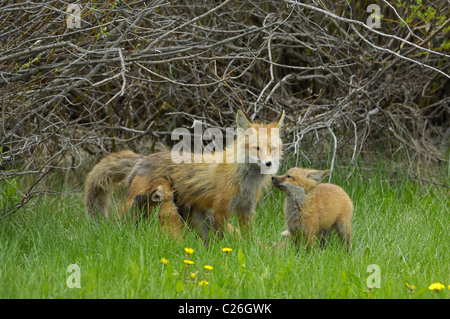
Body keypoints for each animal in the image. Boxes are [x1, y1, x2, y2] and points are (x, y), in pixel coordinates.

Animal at [84, 110, 284, 238]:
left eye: (272, 149)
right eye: (256, 148)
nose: (268, 163)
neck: (244, 181)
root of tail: (144, 157)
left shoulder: (246, 211)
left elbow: (248, 239)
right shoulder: (221, 210)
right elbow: (222, 240)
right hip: (136, 203)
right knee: (119, 221)